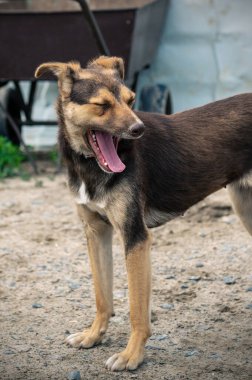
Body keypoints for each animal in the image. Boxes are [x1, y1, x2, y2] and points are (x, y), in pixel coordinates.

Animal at [35, 56, 252, 372]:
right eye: (102, 105)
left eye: (130, 100)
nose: (138, 129)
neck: (91, 165)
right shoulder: (96, 233)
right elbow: (102, 296)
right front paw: (93, 335)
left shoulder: (135, 236)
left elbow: (137, 309)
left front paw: (131, 355)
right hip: (245, 206)